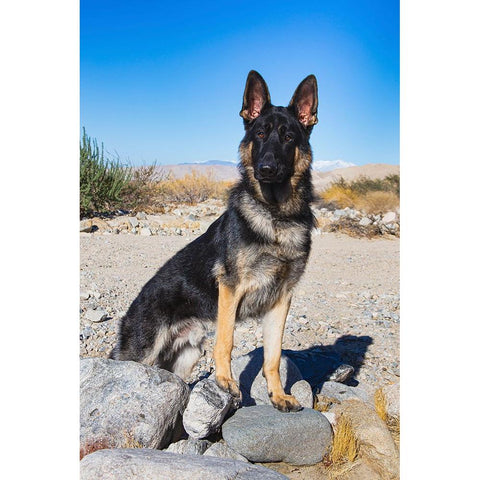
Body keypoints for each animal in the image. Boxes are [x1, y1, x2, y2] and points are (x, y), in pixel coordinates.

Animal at [111, 71, 318, 412]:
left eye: (289, 137)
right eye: (260, 134)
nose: (266, 169)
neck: (275, 216)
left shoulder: (281, 299)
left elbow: (273, 356)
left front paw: (277, 395)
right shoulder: (231, 289)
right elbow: (226, 341)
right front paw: (225, 382)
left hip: (185, 357)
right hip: (142, 352)